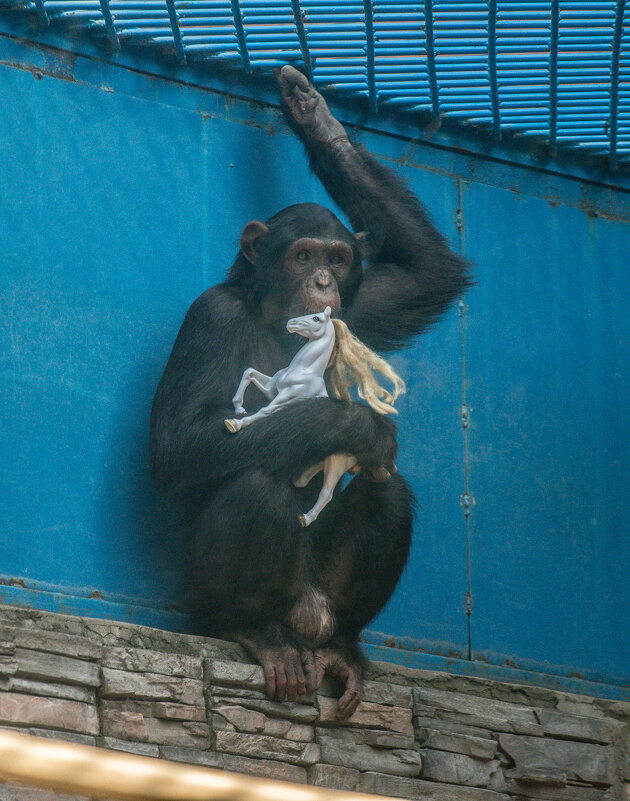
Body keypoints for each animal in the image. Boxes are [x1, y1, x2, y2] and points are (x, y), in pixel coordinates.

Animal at [151, 69, 472, 716]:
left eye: (339, 259)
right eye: (302, 255)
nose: (323, 281)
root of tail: (310, 619)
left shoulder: (364, 305)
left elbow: (428, 274)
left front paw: (317, 118)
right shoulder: (210, 316)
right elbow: (180, 443)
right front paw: (359, 426)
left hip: (328, 599)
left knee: (387, 490)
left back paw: (343, 650)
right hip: (231, 602)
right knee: (257, 487)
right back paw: (254, 630)